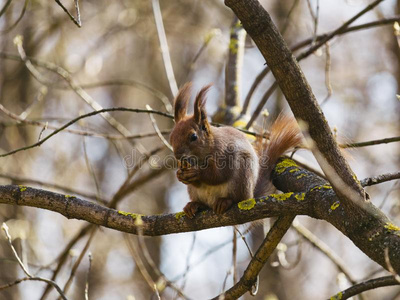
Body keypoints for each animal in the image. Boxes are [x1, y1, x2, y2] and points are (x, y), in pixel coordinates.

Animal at [170, 83, 304, 219]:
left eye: (193, 137)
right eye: (171, 138)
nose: (178, 156)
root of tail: (251, 195)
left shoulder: (225, 152)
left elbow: (218, 175)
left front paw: (197, 172)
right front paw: (179, 175)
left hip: (241, 178)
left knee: (237, 199)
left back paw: (224, 202)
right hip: (195, 192)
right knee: (202, 202)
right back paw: (194, 205)